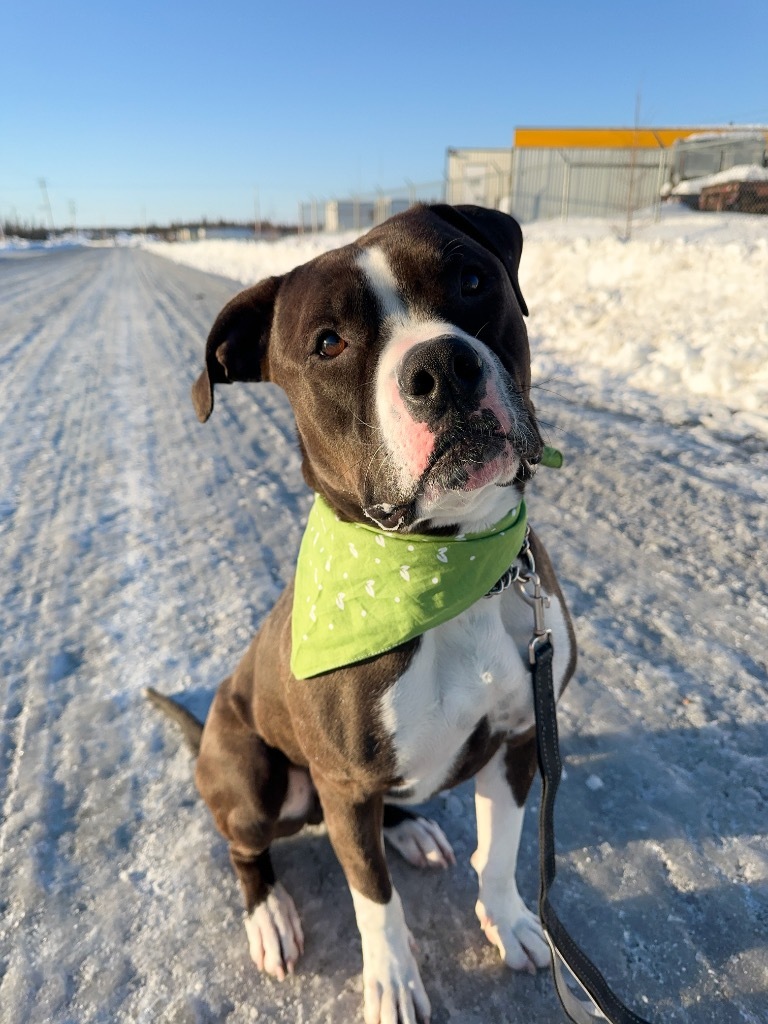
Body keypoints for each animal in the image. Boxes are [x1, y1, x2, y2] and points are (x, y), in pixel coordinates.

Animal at [160, 205, 577, 1024]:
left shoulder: (519, 736)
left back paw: (411, 831)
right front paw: (392, 982)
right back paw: (269, 915)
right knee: (247, 846)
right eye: (328, 343)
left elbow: (503, 846)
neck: (447, 566)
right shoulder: (345, 781)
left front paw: (510, 920)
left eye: (472, 281)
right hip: (257, 776)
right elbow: (374, 901)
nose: (441, 368)